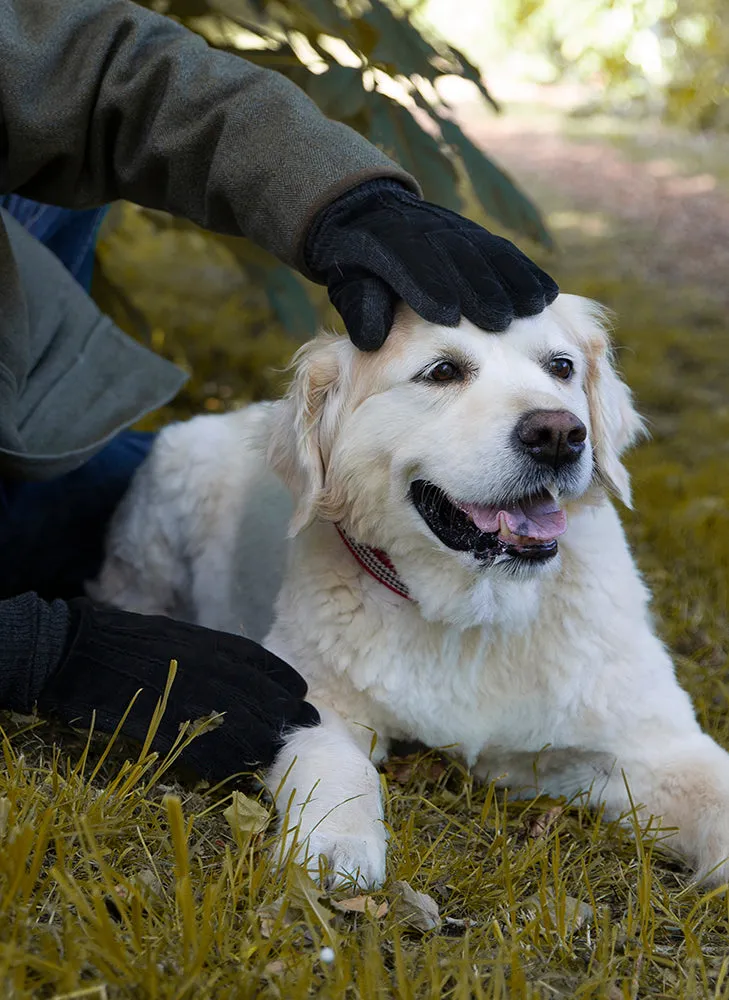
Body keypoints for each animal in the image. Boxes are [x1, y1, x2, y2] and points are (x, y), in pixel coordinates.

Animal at [89, 294, 728, 892]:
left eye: (562, 366)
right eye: (442, 372)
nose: (558, 434)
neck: (475, 616)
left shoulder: (652, 743)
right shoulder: (307, 692)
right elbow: (341, 762)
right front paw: (337, 845)